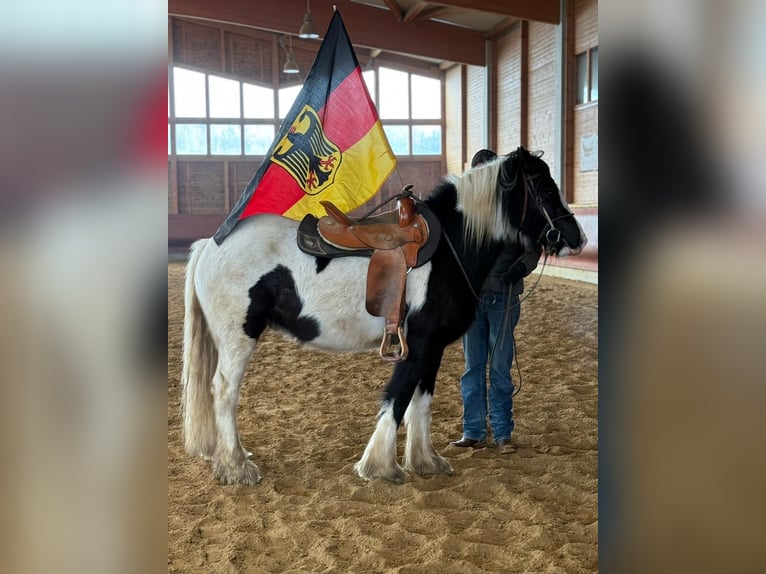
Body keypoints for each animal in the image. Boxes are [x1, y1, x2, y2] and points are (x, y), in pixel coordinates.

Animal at [181, 146, 587, 485]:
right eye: (544, 189)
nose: (577, 236)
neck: (449, 248)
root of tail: (210, 244)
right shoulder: (416, 344)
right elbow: (398, 397)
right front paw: (380, 466)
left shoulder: (432, 347)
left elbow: (421, 401)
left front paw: (425, 461)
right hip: (238, 336)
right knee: (224, 391)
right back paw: (236, 466)